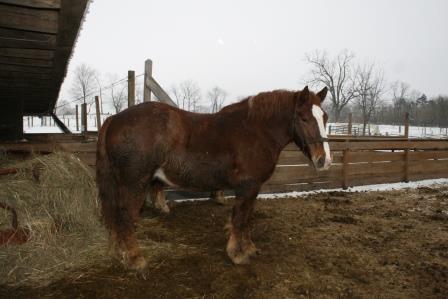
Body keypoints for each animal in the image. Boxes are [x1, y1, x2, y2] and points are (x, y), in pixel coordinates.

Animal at [96, 85, 330, 270]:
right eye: (304, 118)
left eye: (325, 117)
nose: (324, 160)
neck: (256, 131)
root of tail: (114, 119)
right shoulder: (247, 187)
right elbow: (239, 219)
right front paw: (237, 254)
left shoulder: (253, 189)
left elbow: (247, 218)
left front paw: (249, 248)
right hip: (134, 184)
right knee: (125, 217)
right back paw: (134, 259)